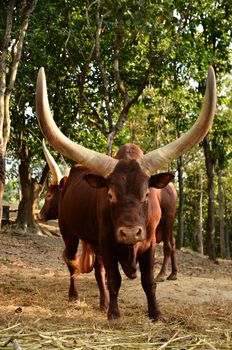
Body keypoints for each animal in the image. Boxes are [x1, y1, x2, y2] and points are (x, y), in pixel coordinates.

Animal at [35, 65, 216, 320]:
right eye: (110, 195)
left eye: (147, 195)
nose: (130, 233)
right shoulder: (106, 243)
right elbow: (113, 278)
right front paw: (114, 313)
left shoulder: (149, 243)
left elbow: (148, 282)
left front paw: (156, 313)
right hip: (69, 232)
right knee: (71, 261)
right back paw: (77, 296)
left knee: (165, 247)